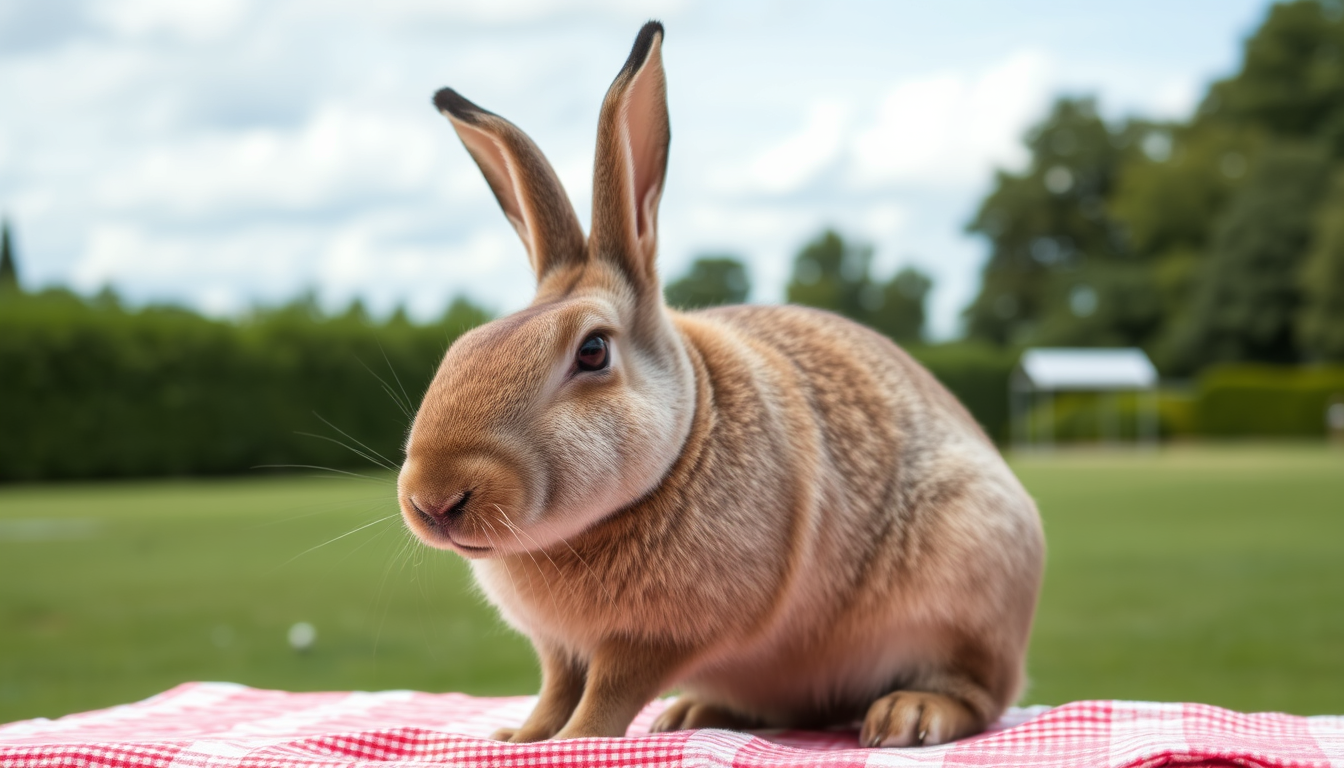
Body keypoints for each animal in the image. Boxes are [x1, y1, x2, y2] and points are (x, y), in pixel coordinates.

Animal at [397, 21, 1044, 748]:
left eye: (592, 351)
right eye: (463, 348)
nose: (432, 499)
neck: (682, 441)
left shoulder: (654, 635)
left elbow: (608, 691)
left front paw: (572, 742)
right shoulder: (558, 648)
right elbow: (556, 686)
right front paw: (521, 738)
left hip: (968, 584)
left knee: (977, 694)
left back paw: (908, 715)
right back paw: (694, 713)